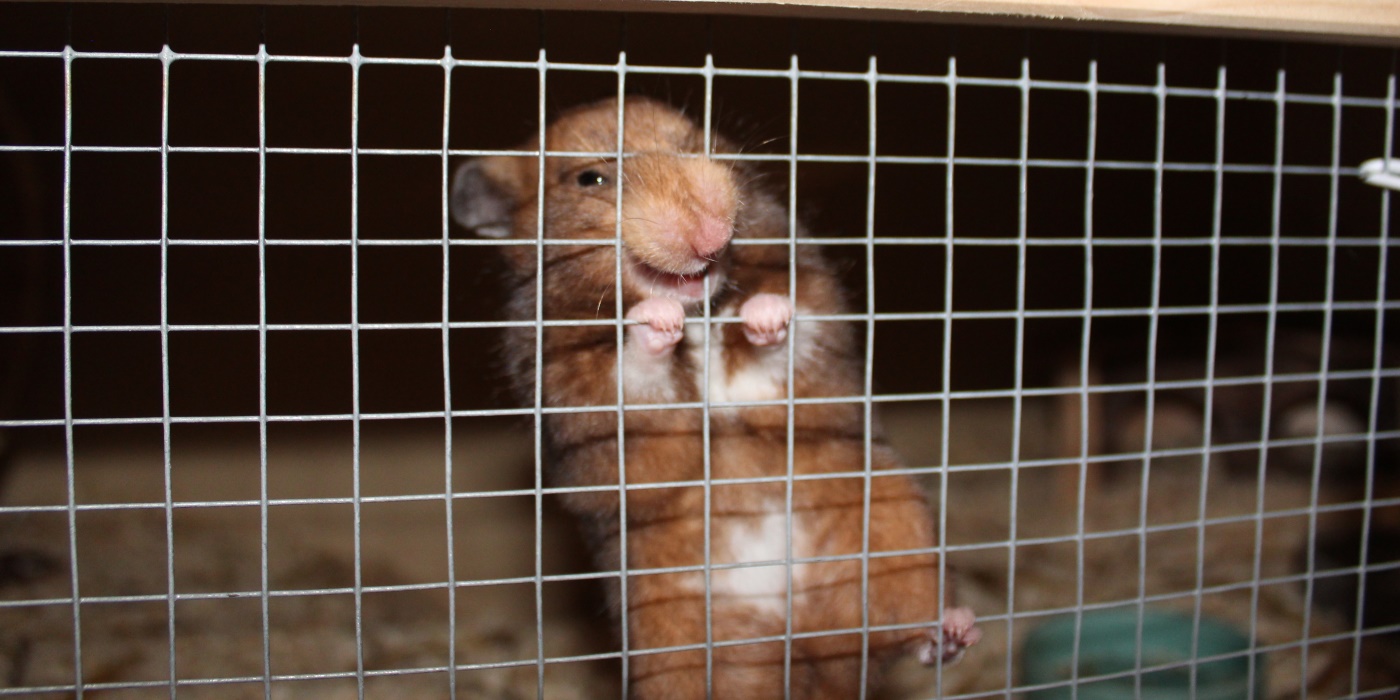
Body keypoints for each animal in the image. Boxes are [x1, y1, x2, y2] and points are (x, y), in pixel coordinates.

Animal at [451, 96, 979, 699]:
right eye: (589, 178)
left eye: (694, 145)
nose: (712, 232)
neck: (699, 311)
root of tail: (802, 656)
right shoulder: (579, 401)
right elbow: (634, 376)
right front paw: (655, 319)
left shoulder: (811, 326)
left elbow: (785, 338)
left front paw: (764, 313)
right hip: (667, 638)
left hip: (892, 521)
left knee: (905, 628)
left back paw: (953, 628)